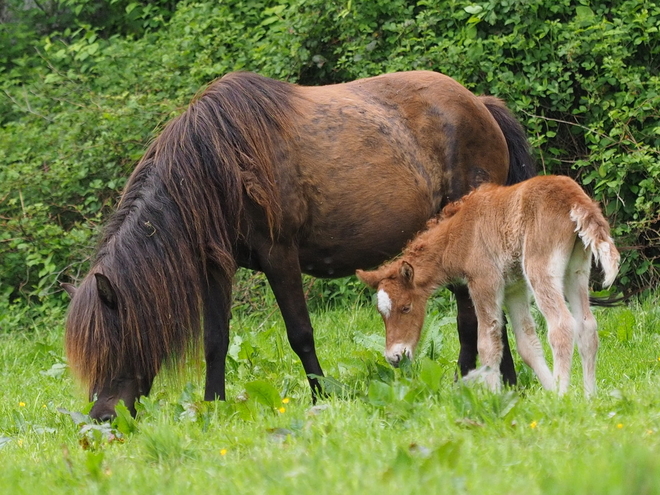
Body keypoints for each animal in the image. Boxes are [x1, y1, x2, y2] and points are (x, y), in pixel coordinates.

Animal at [63, 70, 536, 420]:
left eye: (114, 344)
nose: (101, 418)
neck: (216, 165)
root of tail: (480, 105)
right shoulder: (216, 267)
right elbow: (216, 340)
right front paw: (213, 407)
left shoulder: (279, 256)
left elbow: (300, 334)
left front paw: (321, 396)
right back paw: (489, 381)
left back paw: (490, 382)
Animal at [356, 176, 620, 398]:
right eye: (381, 313)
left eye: (406, 307)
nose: (395, 356)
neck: (459, 232)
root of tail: (575, 198)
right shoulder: (514, 289)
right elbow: (527, 343)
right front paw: (545, 389)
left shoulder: (484, 282)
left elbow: (487, 343)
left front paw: (493, 397)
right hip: (576, 271)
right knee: (587, 325)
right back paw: (589, 397)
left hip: (541, 269)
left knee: (562, 325)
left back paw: (562, 397)